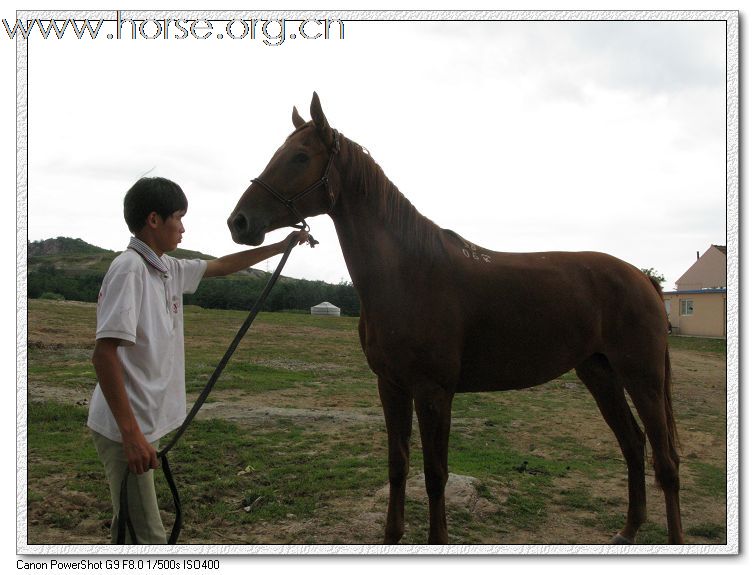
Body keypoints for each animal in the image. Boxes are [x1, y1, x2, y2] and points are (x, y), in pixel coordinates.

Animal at [226, 93, 684, 544]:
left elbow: (435, 475)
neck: (408, 273)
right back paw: (628, 529)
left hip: (642, 377)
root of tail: (642, 278)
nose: (238, 222)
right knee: (633, 444)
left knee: (666, 461)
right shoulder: (390, 386)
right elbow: (398, 465)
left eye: (300, 157)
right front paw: (392, 535)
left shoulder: (433, 392)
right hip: (599, 373)